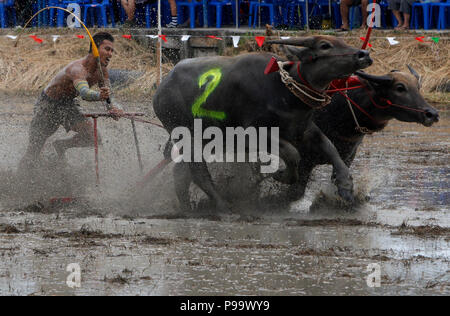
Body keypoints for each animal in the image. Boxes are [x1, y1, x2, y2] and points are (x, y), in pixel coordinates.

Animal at [153, 35, 370, 212]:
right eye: (325, 45)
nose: (364, 54)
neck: (284, 91)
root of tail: (160, 90)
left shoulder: (304, 130)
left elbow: (331, 149)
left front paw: (345, 185)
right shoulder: (252, 134)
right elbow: (293, 153)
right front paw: (282, 175)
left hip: (201, 139)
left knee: (181, 173)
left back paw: (187, 208)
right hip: (185, 135)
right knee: (198, 171)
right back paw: (223, 206)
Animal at [278, 65, 440, 201]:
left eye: (418, 87)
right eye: (400, 87)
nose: (432, 114)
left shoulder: (347, 157)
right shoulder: (305, 160)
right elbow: (294, 192)